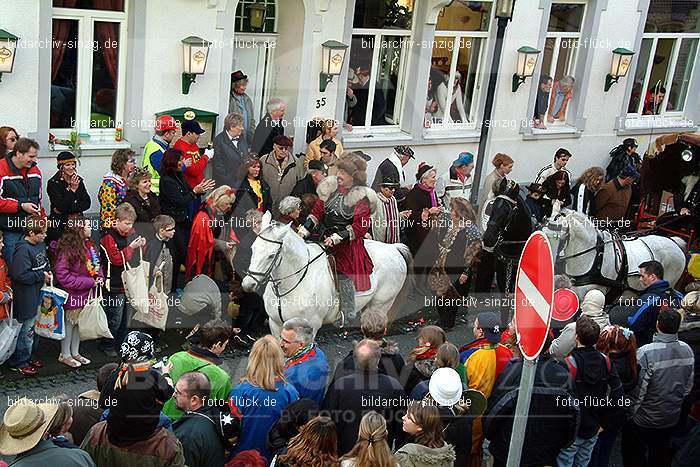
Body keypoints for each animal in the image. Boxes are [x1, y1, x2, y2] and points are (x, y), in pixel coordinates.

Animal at [243, 212, 412, 336]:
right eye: (253, 248)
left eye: (271, 255)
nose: (248, 284)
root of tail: (393, 248)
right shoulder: (275, 325)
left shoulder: (310, 326)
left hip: (381, 304)